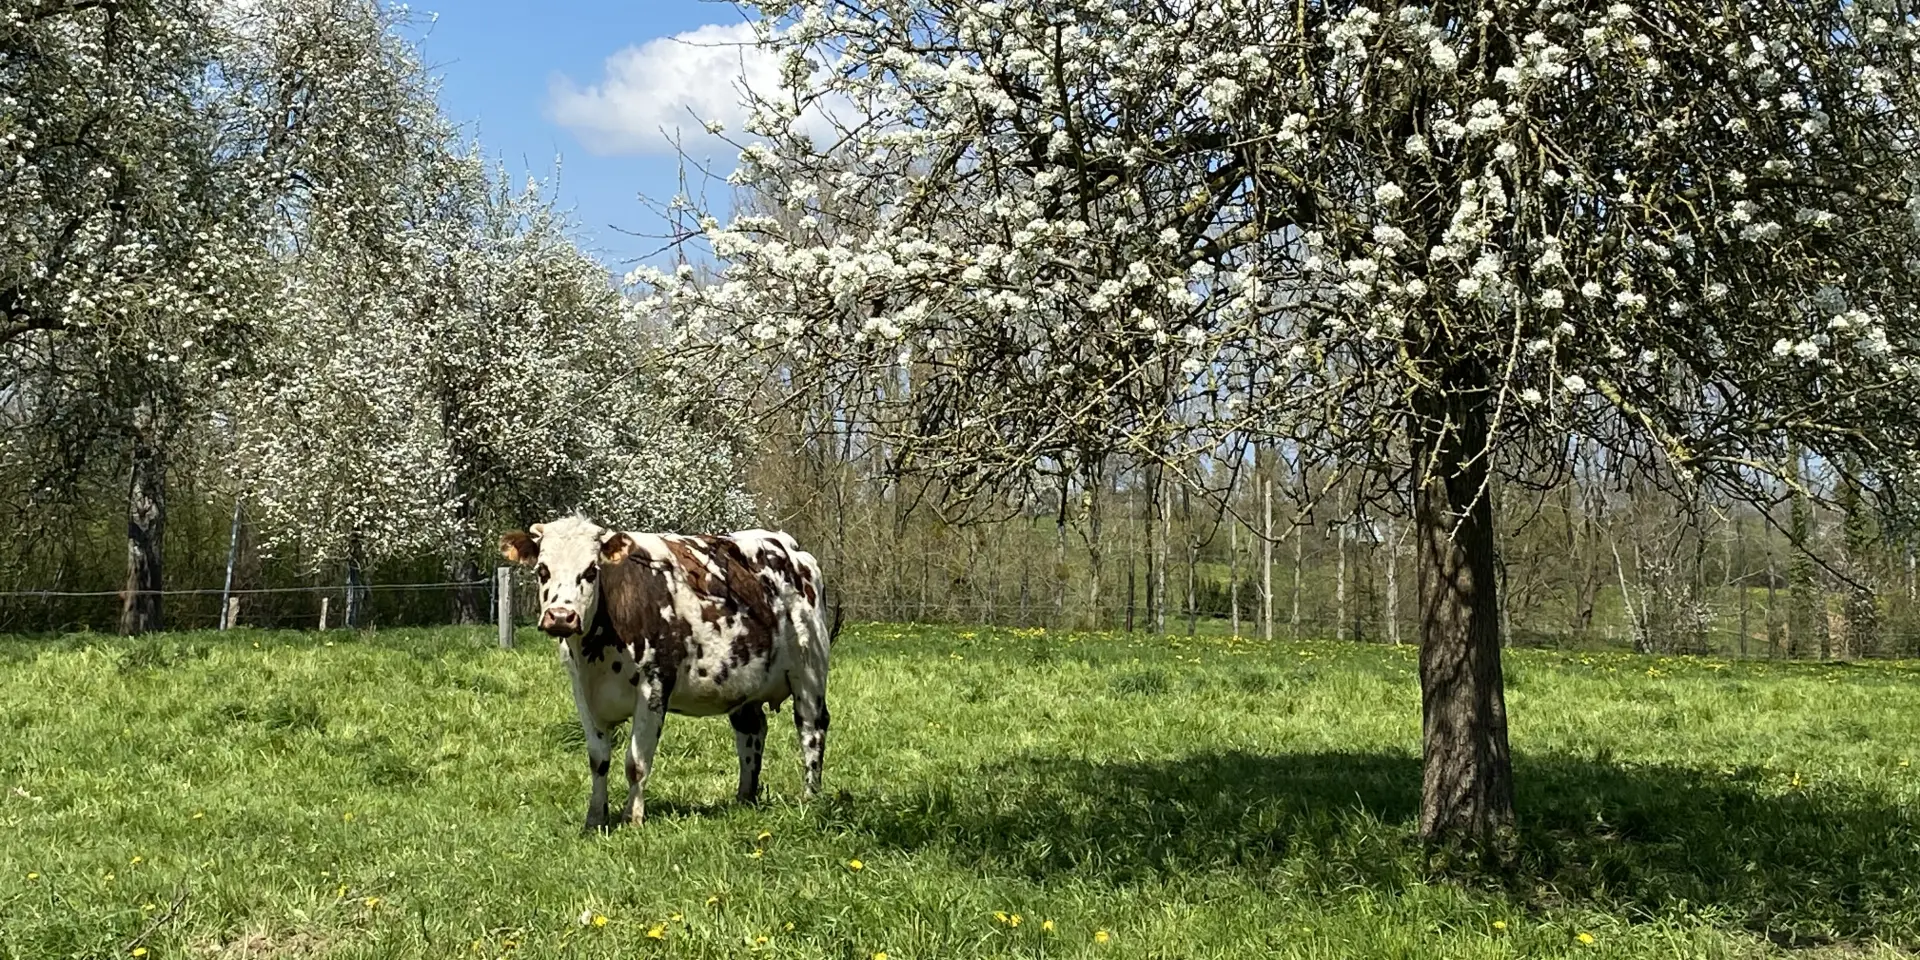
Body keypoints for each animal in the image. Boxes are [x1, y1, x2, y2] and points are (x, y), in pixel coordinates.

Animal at [498, 515, 833, 832]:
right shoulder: (582, 692)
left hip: (809, 671)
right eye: (542, 570)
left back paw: (810, 797)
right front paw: (594, 819)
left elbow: (636, 763)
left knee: (811, 728)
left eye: (591, 571)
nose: (561, 617)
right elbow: (598, 760)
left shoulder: (654, 687)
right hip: (742, 682)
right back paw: (744, 798)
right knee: (751, 731)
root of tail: (789, 546)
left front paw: (632, 818)